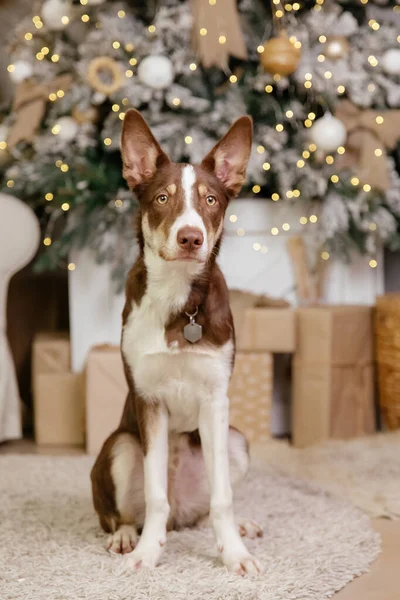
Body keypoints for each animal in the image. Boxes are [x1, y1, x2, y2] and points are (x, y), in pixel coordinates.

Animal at [92, 109, 264, 576]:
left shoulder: (216, 399)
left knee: (206, 509)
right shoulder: (148, 400)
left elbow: (223, 497)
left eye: (211, 201)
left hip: (237, 441)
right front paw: (147, 553)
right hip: (118, 446)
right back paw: (125, 536)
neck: (179, 302)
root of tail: (183, 515)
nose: (191, 238)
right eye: (162, 198)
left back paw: (235, 527)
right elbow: (155, 495)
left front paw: (234, 554)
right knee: (119, 511)